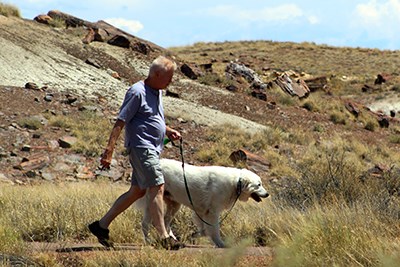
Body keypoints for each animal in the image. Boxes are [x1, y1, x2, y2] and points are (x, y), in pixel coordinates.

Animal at [140, 159, 268, 249]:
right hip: (154, 200)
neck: (236, 183)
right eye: (259, 185)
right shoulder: (212, 212)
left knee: (165, 221)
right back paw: (149, 241)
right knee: (146, 223)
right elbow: (214, 229)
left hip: (174, 204)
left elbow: (204, 230)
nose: (267, 194)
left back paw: (173, 238)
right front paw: (220, 243)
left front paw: (194, 235)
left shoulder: (201, 212)